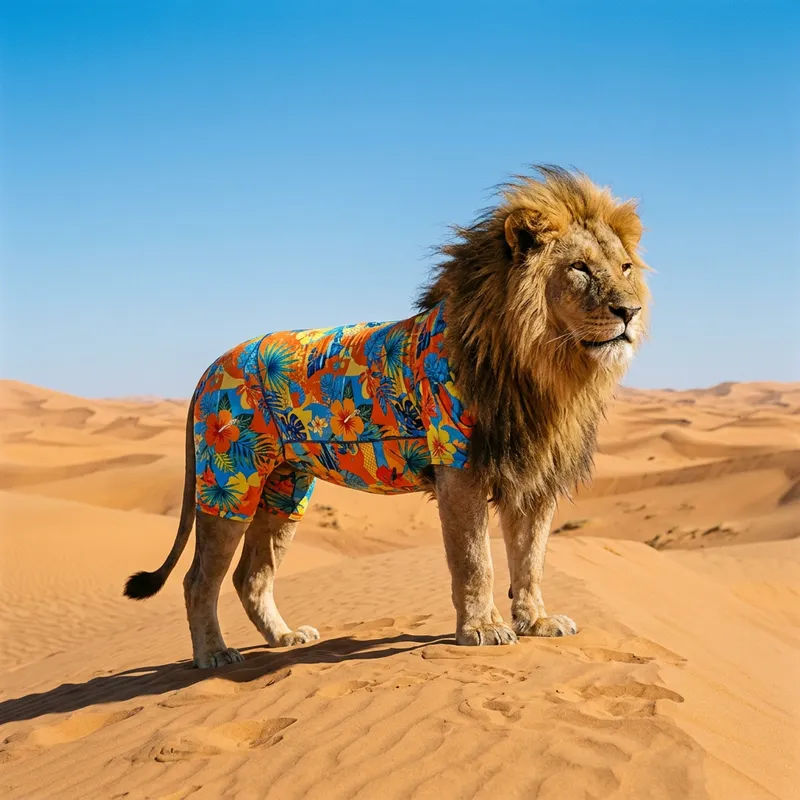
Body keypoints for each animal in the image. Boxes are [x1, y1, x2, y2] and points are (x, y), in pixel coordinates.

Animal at [125, 166, 650, 668]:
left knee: (250, 576)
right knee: (199, 579)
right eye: (579, 268)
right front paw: (481, 630)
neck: (545, 367)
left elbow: (531, 559)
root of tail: (212, 366)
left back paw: (285, 638)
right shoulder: (459, 466)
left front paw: (537, 622)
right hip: (230, 483)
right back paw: (213, 655)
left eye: (625, 267)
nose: (630, 311)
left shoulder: (535, 476)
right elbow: (475, 560)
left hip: (284, 492)